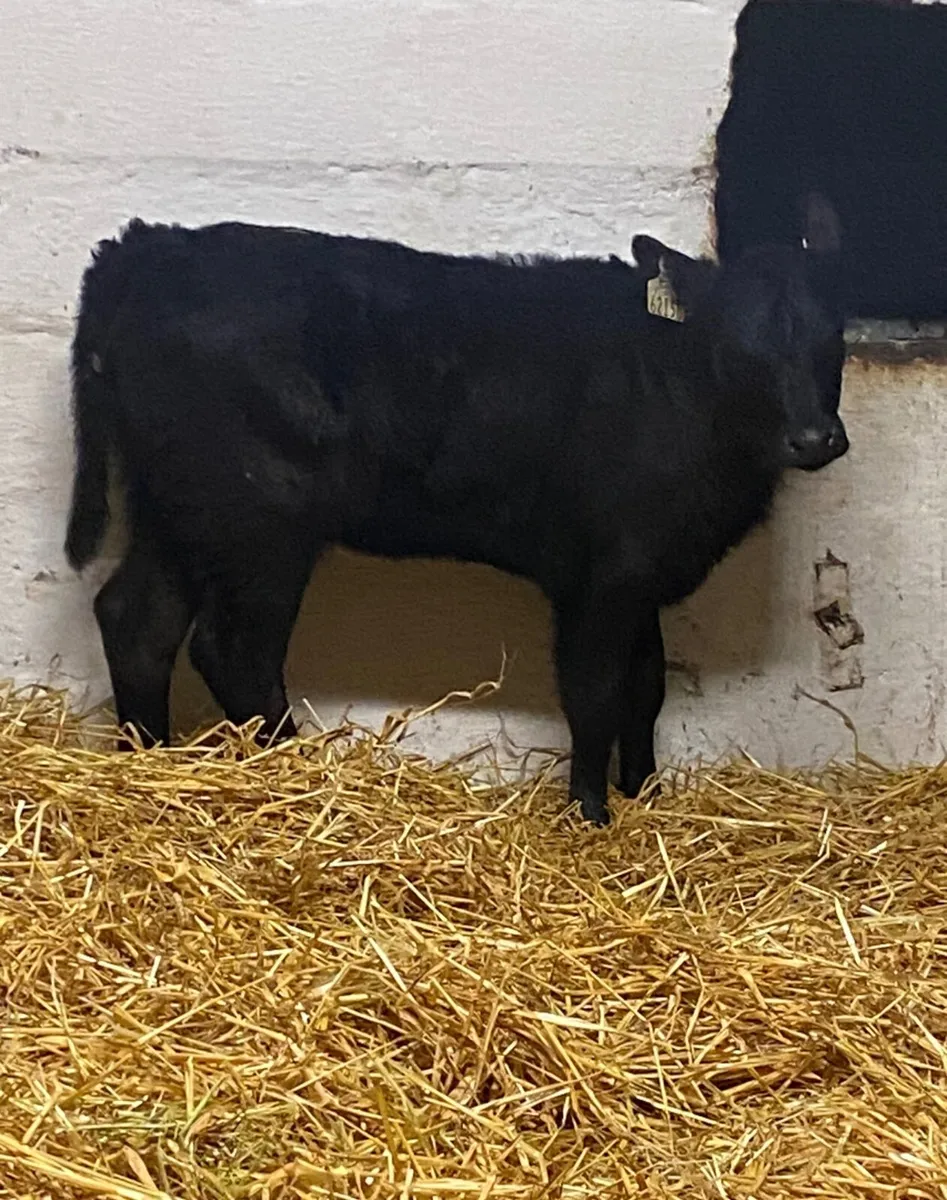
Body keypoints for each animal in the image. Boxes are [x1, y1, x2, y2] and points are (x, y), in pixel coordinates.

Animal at [64, 192, 848, 825]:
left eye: (834, 336)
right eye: (738, 346)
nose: (814, 437)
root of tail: (147, 249)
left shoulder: (640, 570)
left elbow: (646, 684)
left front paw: (644, 794)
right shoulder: (599, 576)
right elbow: (595, 691)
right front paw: (590, 815)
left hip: (179, 508)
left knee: (139, 619)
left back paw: (147, 757)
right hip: (260, 522)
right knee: (233, 648)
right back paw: (295, 772)